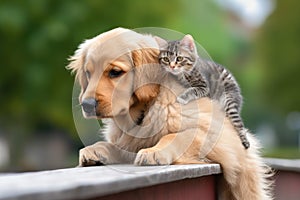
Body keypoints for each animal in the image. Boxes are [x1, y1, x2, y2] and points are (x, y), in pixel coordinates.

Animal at [67, 27, 272, 199]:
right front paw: (95, 150)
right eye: (88, 73)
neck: (146, 107)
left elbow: (176, 136)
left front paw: (154, 151)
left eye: (115, 72)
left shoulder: (219, 132)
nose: (86, 105)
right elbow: (115, 146)